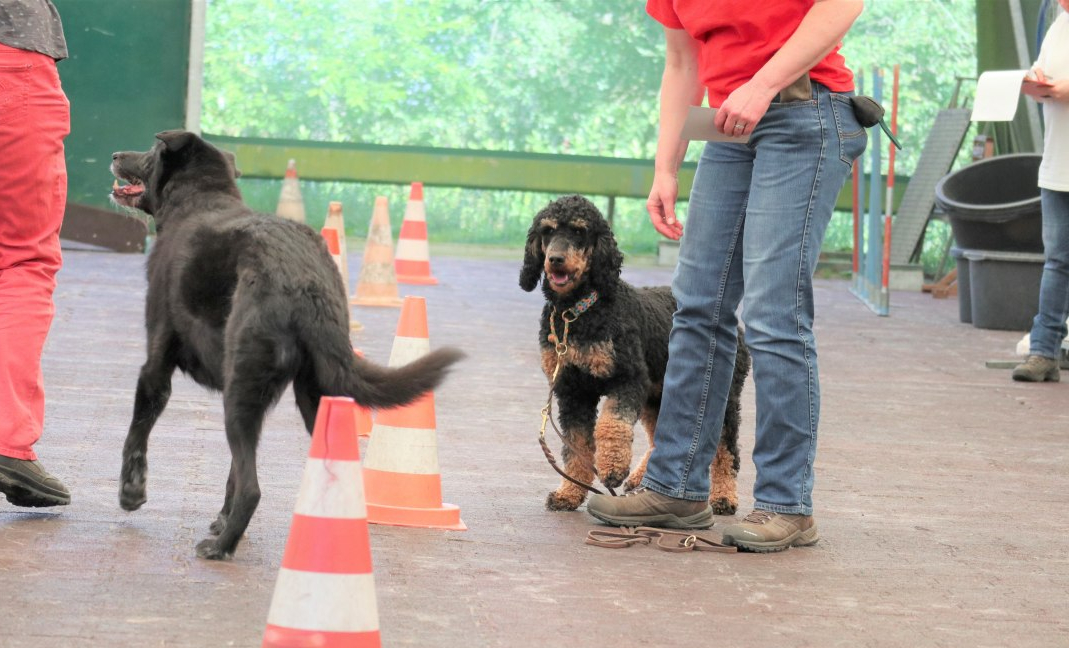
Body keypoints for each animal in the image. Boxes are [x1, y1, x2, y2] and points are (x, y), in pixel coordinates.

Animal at [110, 130, 463, 559]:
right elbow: (231, 471)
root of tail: (308, 284)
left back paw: (221, 548)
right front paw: (221, 517)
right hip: (314, 399)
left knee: (252, 489)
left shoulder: (156, 366)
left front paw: (131, 491)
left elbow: (137, 431)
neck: (200, 199)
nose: (116, 154)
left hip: (241, 394)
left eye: (150, 150)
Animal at [519, 195, 750, 514]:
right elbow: (576, 446)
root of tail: (734, 326)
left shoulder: (627, 379)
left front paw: (612, 469)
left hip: (723, 396)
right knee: (658, 440)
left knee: (726, 450)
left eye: (579, 231)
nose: (555, 259)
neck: (579, 313)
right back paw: (643, 479)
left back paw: (724, 496)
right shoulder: (572, 391)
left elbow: (611, 424)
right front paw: (569, 492)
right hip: (658, 396)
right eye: (547, 231)